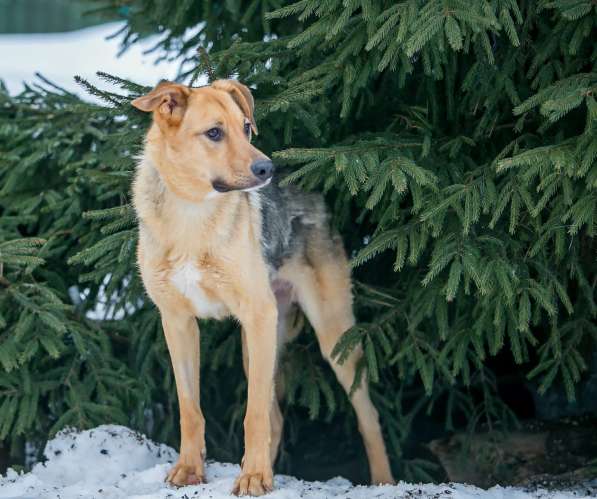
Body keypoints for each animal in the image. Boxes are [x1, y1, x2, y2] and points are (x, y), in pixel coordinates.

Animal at [130, 80, 394, 494]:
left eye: (246, 128)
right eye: (214, 133)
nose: (266, 168)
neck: (192, 214)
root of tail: (312, 193)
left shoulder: (256, 315)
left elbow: (253, 414)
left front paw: (254, 477)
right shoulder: (177, 321)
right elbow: (190, 408)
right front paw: (190, 470)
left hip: (330, 336)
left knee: (367, 417)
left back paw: (381, 481)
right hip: (257, 339)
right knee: (277, 418)